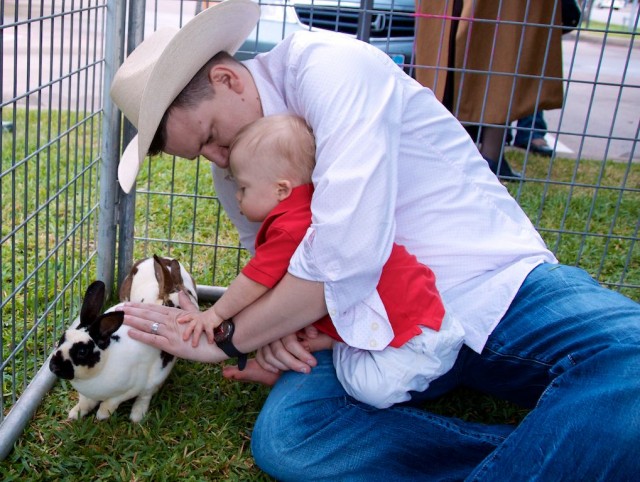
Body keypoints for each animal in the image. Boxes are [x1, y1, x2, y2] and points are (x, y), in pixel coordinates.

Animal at [50, 254, 198, 420]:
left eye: (82, 352)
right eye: (62, 339)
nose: (54, 367)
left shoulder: (128, 390)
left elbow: (111, 402)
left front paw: (102, 415)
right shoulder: (86, 395)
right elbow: (85, 401)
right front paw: (76, 413)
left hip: (156, 376)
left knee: (146, 395)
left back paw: (137, 416)